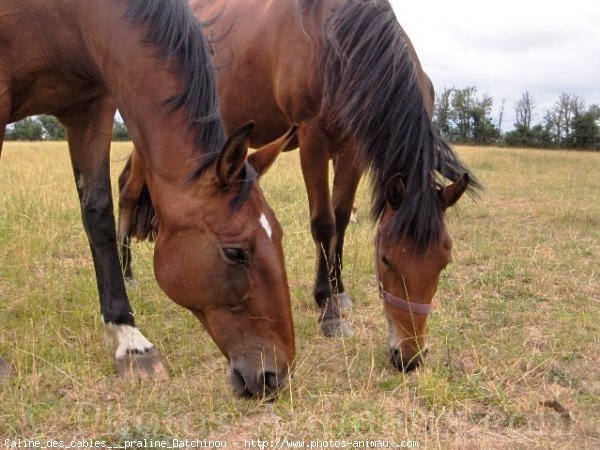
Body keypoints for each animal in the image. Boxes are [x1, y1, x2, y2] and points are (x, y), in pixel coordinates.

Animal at [0, 0, 296, 398]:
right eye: (235, 252)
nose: (273, 375)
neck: (63, 17)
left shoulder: (91, 107)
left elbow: (98, 215)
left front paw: (131, 342)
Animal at [119, 0, 480, 372]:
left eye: (444, 261)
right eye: (386, 259)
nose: (409, 356)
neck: (339, 42)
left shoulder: (352, 147)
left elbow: (341, 218)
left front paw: (338, 291)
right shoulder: (313, 138)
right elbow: (323, 222)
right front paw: (329, 311)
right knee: (128, 191)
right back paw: (126, 271)